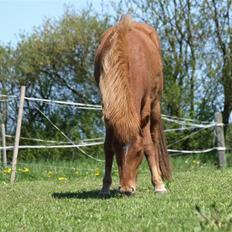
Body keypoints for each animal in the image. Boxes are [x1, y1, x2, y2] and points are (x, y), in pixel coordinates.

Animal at [94, 15, 170, 196]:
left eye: (138, 152)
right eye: (117, 151)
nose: (126, 189)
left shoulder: (146, 107)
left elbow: (149, 145)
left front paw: (159, 185)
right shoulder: (108, 109)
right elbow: (106, 147)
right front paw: (105, 186)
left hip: (155, 105)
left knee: (154, 138)